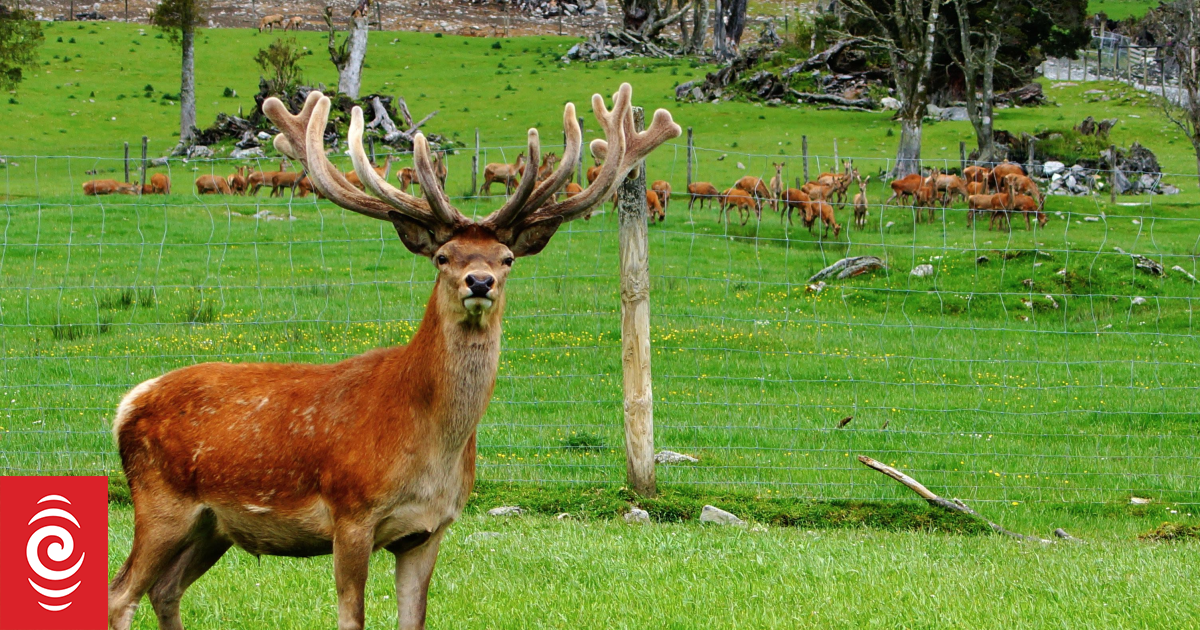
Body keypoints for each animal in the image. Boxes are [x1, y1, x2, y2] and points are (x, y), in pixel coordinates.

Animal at [106, 84, 680, 630]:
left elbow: (414, 617)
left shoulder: (430, 528)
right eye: (444, 256)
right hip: (160, 503)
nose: (479, 282)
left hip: (213, 526)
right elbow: (351, 615)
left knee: (165, 589)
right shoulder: (350, 514)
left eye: (507, 258)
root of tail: (126, 405)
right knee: (120, 594)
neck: (427, 440)